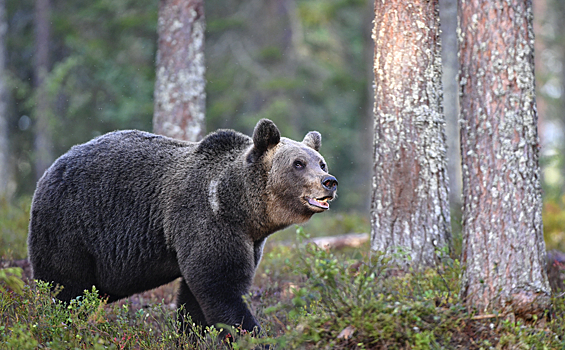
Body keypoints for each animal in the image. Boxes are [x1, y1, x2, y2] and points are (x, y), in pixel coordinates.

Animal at [27, 119, 334, 334]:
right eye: (298, 163)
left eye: (321, 162)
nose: (329, 181)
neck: (238, 206)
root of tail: (49, 171)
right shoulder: (206, 220)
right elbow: (221, 288)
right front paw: (252, 333)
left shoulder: (246, 240)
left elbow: (194, 300)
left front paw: (190, 332)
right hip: (70, 227)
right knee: (65, 287)